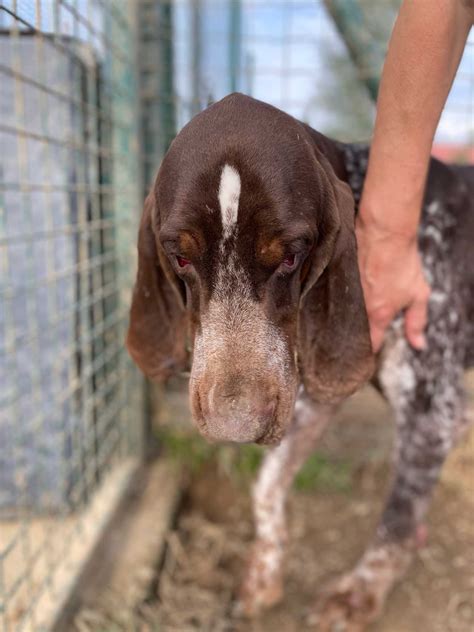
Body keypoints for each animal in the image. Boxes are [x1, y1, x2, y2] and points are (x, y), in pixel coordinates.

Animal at [126, 94, 474, 632]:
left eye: (291, 255)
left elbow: (396, 517)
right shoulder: (306, 393)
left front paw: (359, 592)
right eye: (179, 258)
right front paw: (264, 572)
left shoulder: (433, 411)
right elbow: (267, 483)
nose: (234, 426)